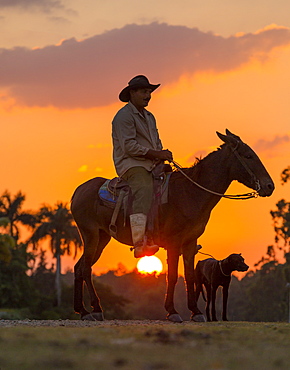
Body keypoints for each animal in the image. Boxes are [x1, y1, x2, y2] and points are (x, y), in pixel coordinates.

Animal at [70, 132, 274, 322]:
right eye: (248, 156)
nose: (269, 186)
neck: (190, 193)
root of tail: (78, 191)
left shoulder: (190, 242)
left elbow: (189, 276)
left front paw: (196, 311)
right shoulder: (174, 243)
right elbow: (173, 276)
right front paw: (172, 311)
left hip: (102, 237)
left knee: (79, 267)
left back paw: (82, 310)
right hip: (91, 235)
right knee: (86, 268)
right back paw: (96, 309)